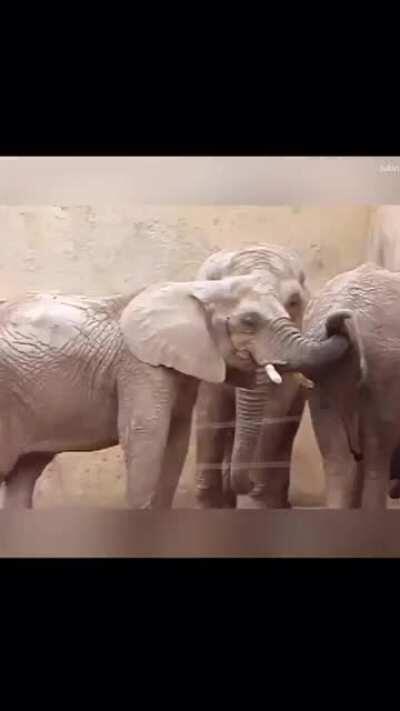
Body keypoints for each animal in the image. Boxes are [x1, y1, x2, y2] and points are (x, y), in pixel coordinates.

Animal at [0, 277, 348, 510]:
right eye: (249, 322)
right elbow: (147, 436)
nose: (341, 319)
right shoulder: (140, 367)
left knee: (25, 473)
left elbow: (176, 442)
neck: (195, 290)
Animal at [194, 244, 343, 509]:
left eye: (293, 302)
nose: (249, 484)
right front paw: (209, 503)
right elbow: (210, 411)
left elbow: (273, 412)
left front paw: (255, 500)